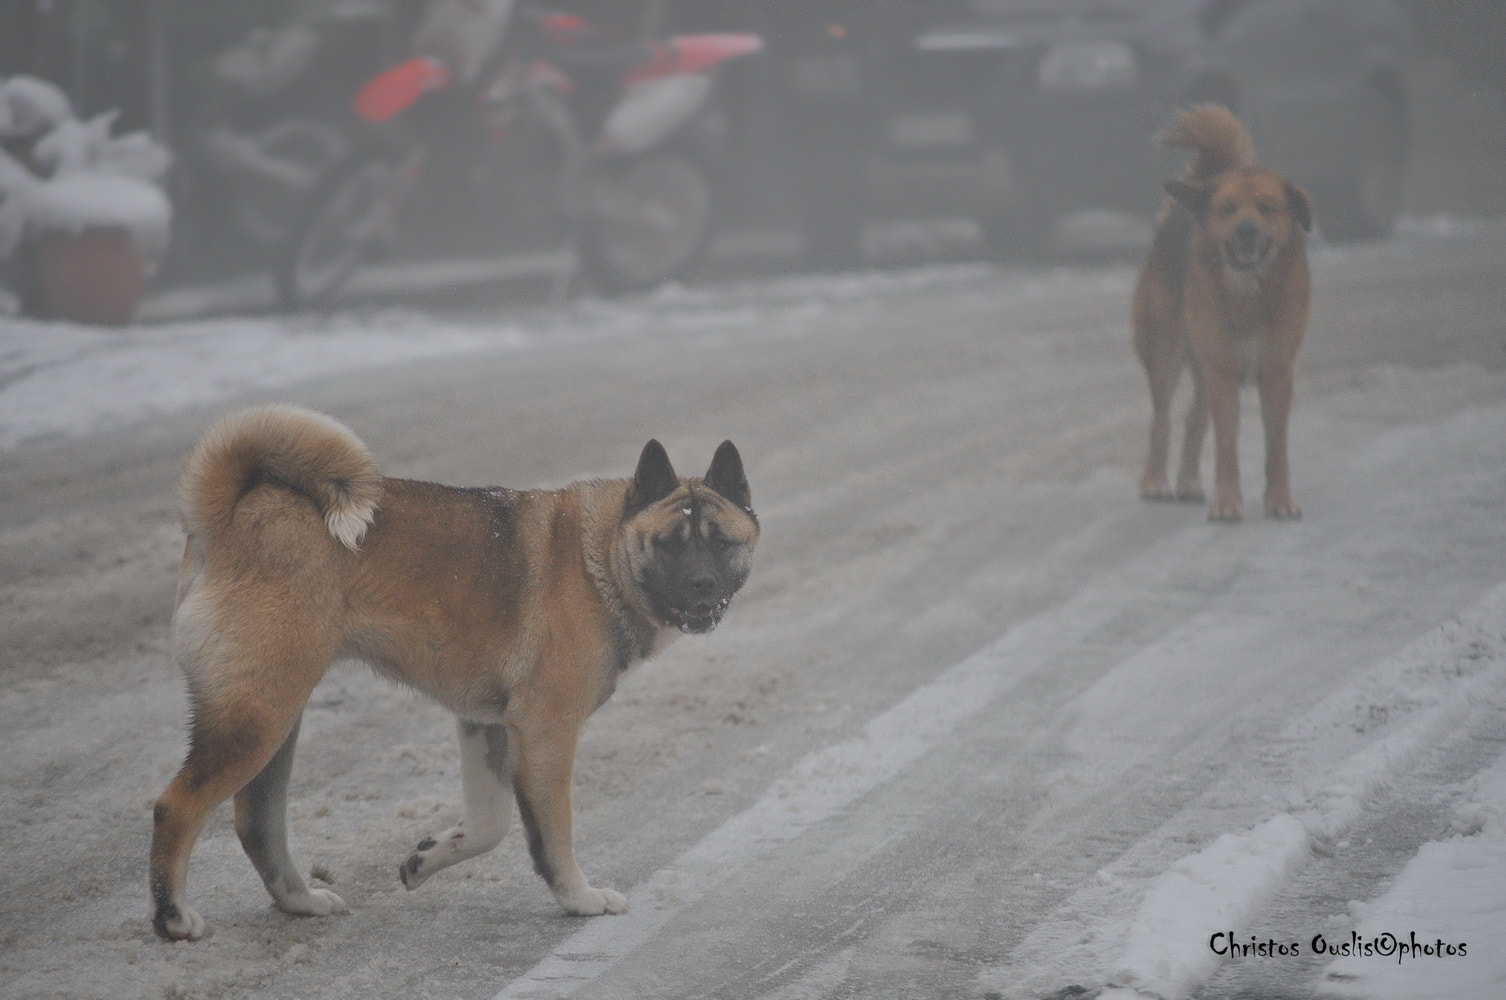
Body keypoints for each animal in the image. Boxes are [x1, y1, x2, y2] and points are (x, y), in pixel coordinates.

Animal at [148, 403, 759, 939]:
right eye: (669, 544)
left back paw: (300, 901)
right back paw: (173, 918)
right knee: (177, 808)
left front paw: (426, 858)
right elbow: (552, 833)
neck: (601, 557)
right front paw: (579, 898)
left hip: (277, 717)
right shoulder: (546, 733)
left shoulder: (486, 726)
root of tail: (228, 515)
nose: (703, 586)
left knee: (258, 823)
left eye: (722, 543)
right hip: (257, 718)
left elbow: (490, 825)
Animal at [1132, 104, 1307, 518]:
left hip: (1202, 363)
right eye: (1227, 209)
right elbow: (1226, 443)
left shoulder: (1276, 370)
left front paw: (1280, 500)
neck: (1249, 296)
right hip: (1168, 351)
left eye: (1267, 208)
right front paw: (1227, 504)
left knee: (1194, 416)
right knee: (1162, 419)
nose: (1246, 230)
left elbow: (1277, 444)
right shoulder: (1224, 370)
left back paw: (1189, 480)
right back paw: (1156, 481)